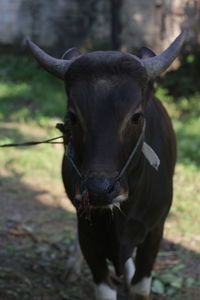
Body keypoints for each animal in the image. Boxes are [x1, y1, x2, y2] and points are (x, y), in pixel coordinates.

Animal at [27, 28, 188, 300]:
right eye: (73, 116)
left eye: (136, 116)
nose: (100, 190)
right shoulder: (89, 232)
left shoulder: (155, 230)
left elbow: (140, 287)